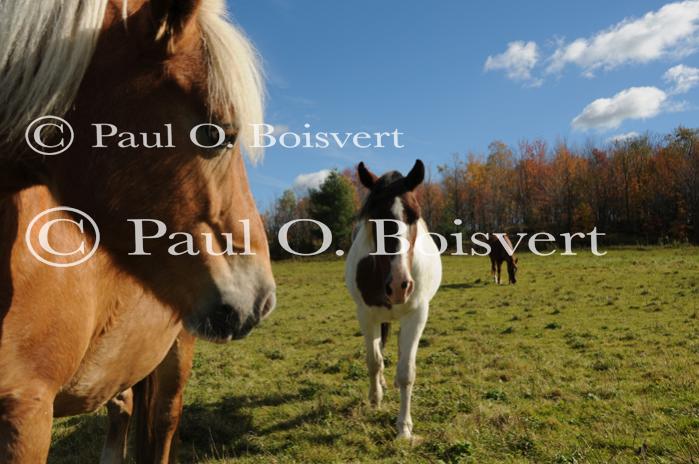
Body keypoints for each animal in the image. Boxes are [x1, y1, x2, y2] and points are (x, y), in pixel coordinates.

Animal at [345, 160, 442, 441]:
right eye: (375, 217)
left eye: (414, 215)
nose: (399, 285)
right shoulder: (366, 315)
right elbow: (374, 361)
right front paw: (375, 398)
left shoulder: (417, 315)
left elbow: (406, 371)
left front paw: (404, 428)